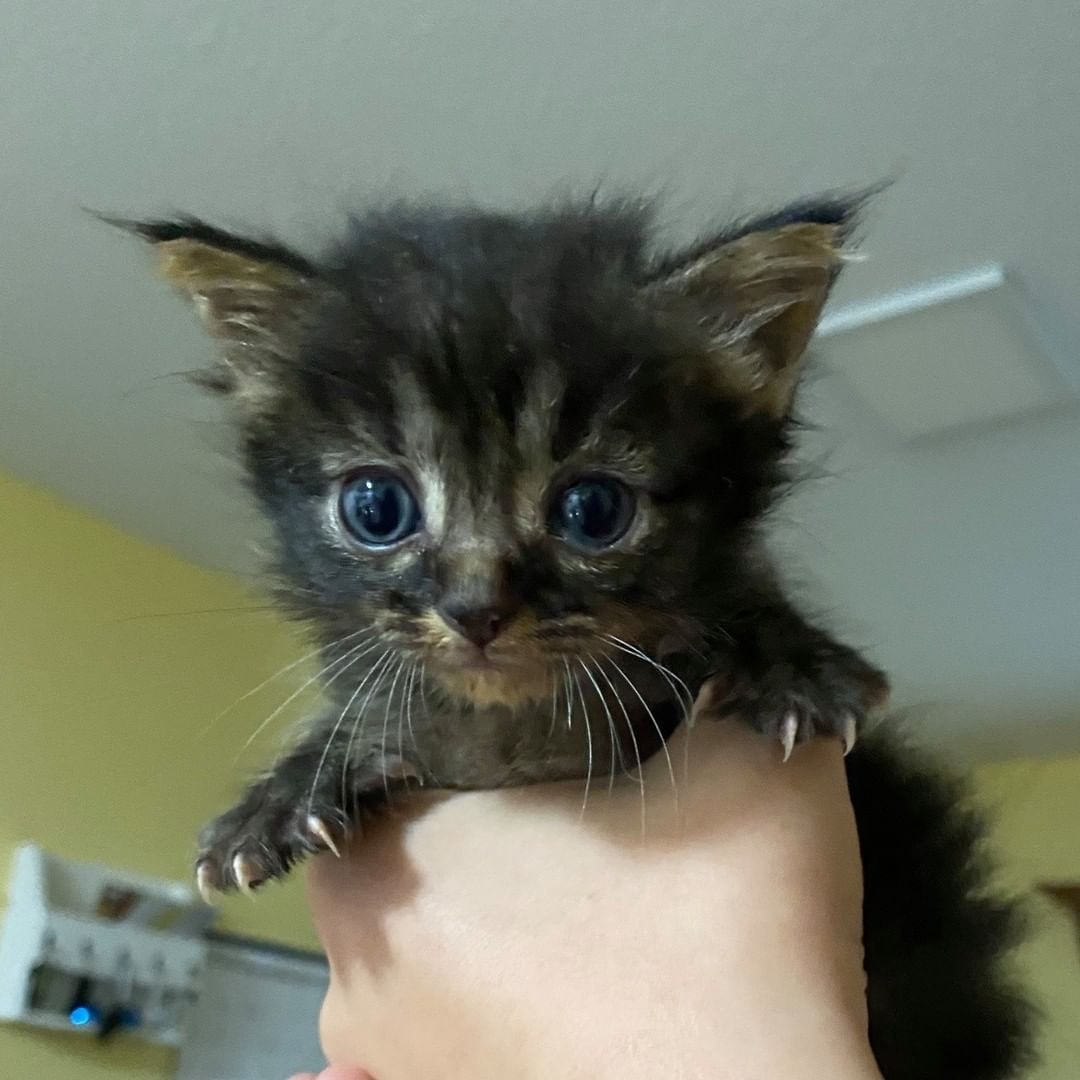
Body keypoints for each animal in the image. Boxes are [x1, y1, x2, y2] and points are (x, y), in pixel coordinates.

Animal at [122, 196, 1032, 1080]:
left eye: (592, 510)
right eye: (376, 508)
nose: (475, 608)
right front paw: (287, 792)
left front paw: (791, 663)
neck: (519, 738)